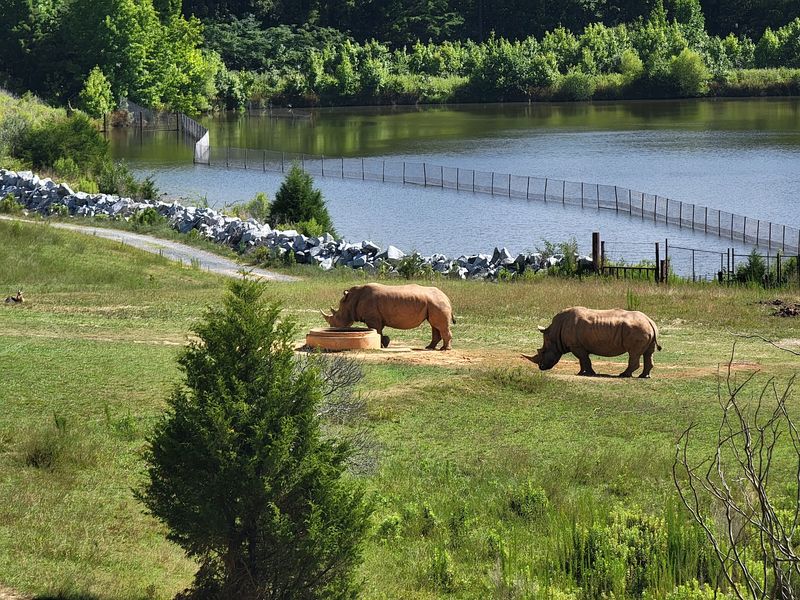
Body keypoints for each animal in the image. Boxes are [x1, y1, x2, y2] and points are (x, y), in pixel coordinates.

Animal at [321, 283, 455, 350]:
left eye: (336, 318)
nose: (332, 329)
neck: (351, 300)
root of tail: (447, 297)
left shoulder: (372, 318)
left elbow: (377, 330)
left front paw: (382, 344)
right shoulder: (377, 318)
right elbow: (379, 331)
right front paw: (385, 343)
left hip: (438, 303)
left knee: (439, 326)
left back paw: (444, 349)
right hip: (434, 304)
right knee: (434, 325)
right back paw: (429, 347)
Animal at [522, 307, 661, 378]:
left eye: (543, 352)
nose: (541, 367)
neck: (554, 334)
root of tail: (649, 321)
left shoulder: (576, 346)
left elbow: (584, 360)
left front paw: (588, 373)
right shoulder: (578, 346)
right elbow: (582, 360)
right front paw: (581, 373)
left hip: (638, 329)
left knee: (634, 353)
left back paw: (623, 375)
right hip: (645, 328)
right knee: (648, 353)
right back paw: (644, 376)